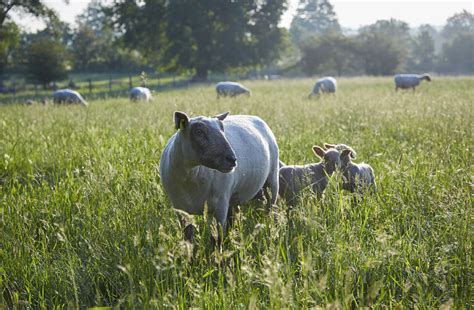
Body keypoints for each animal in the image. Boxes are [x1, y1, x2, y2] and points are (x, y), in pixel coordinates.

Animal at [160, 111, 278, 242]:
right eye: (199, 132)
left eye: (222, 128)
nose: (232, 159)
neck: (191, 176)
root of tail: (253, 116)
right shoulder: (180, 209)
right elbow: (188, 238)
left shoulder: (220, 205)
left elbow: (217, 238)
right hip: (233, 197)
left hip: (272, 181)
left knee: (271, 209)